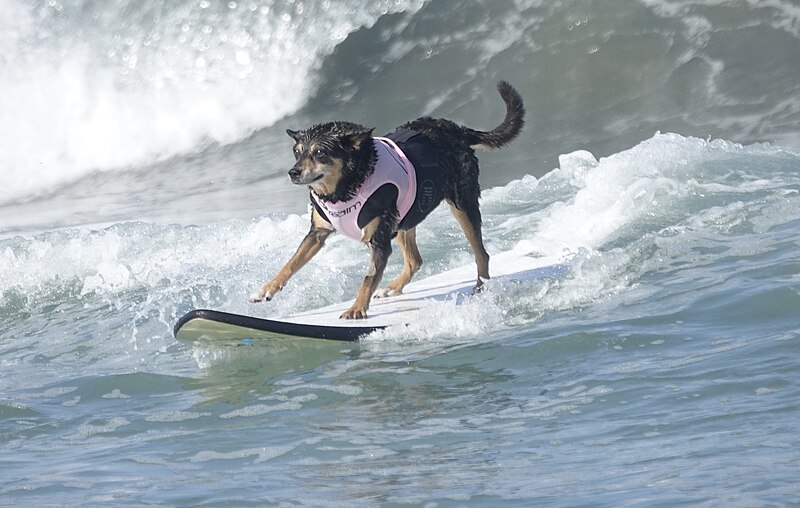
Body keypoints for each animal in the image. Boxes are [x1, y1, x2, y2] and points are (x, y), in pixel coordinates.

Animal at [250, 80, 524, 320]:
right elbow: (290, 263)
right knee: (414, 260)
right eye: (297, 153)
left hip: (461, 205)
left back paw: (480, 287)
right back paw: (393, 287)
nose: (293, 172)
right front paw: (266, 289)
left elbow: (368, 277)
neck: (346, 186)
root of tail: (458, 130)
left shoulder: (378, 240)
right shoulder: (317, 233)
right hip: (404, 218)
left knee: (481, 254)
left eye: (319, 153)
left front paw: (357, 309)